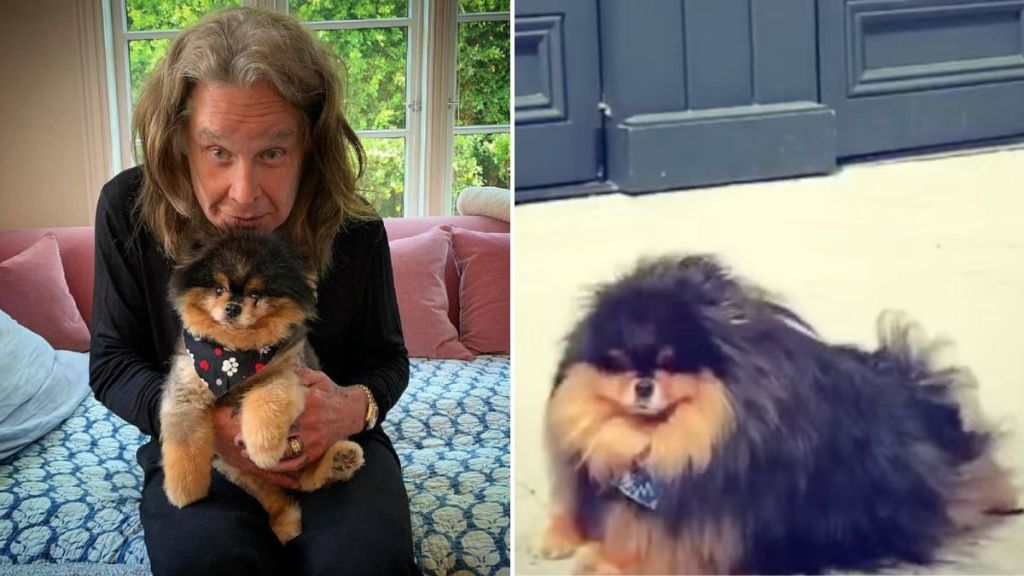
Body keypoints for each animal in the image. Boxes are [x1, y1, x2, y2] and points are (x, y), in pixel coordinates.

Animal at [159, 226, 364, 541]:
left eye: (256, 294)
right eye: (218, 289)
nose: (232, 307)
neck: (232, 356)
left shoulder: (286, 373)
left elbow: (267, 399)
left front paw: (264, 448)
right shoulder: (186, 387)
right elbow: (183, 444)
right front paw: (184, 491)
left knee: (306, 480)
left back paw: (339, 460)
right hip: (236, 469)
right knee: (277, 497)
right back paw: (286, 523)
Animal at [540, 256, 1019, 573]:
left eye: (671, 363)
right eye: (617, 363)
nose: (642, 384)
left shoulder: (694, 537)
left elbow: (639, 548)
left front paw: (600, 557)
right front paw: (559, 536)